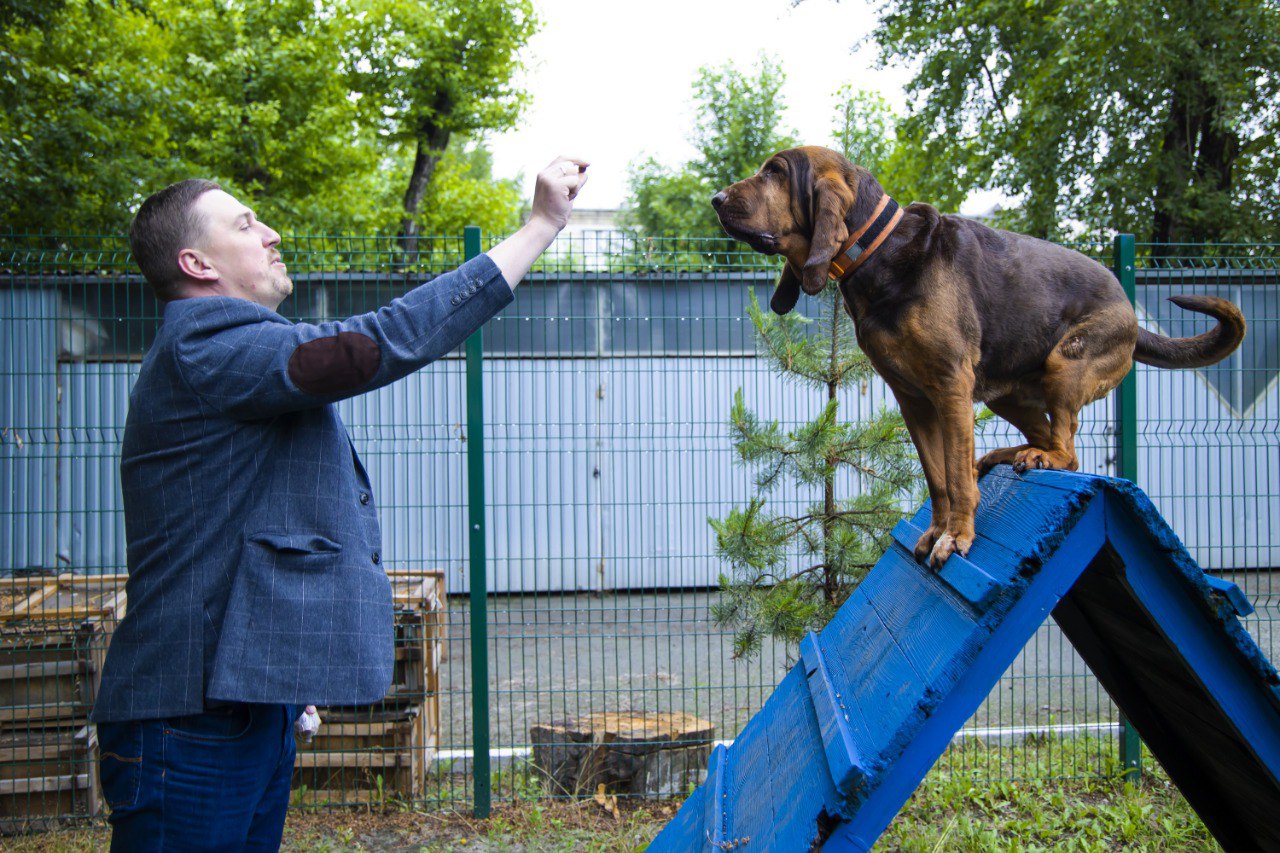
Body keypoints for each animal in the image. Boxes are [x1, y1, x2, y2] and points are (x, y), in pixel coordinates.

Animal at [706, 147, 1244, 563]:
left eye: (775, 172)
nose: (715, 200)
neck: (877, 251)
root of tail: (1130, 310)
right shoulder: (913, 401)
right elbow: (939, 477)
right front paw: (937, 530)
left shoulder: (949, 388)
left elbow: (957, 478)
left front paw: (958, 537)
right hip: (1005, 395)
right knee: (1043, 439)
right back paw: (1012, 455)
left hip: (1066, 363)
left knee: (1068, 453)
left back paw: (1035, 458)